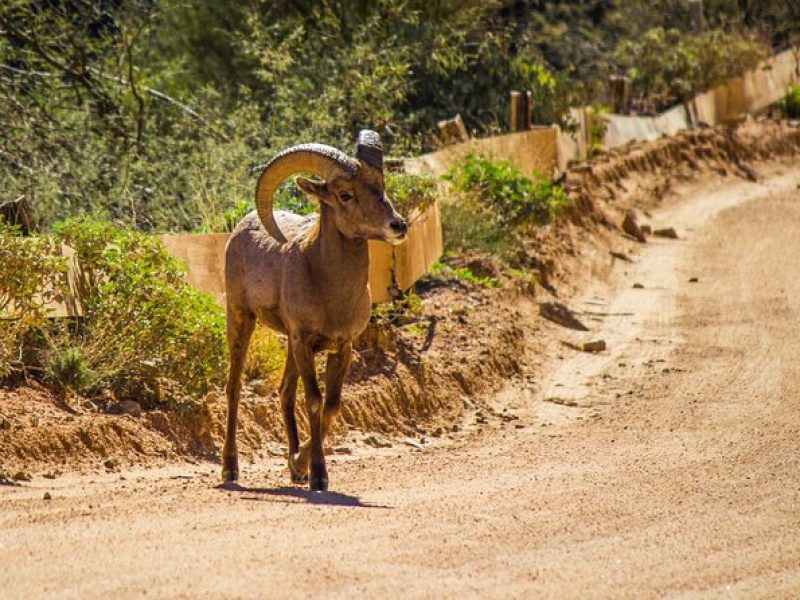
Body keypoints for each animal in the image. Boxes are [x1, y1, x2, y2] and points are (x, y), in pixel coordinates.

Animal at [222, 129, 406, 490]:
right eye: (346, 195)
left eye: (381, 185)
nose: (398, 226)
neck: (330, 290)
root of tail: (241, 228)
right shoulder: (304, 342)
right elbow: (315, 401)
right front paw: (319, 477)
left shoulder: (342, 346)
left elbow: (331, 406)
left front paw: (300, 464)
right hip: (241, 320)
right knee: (235, 389)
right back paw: (230, 469)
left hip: (290, 346)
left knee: (284, 391)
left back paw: (294, 469)